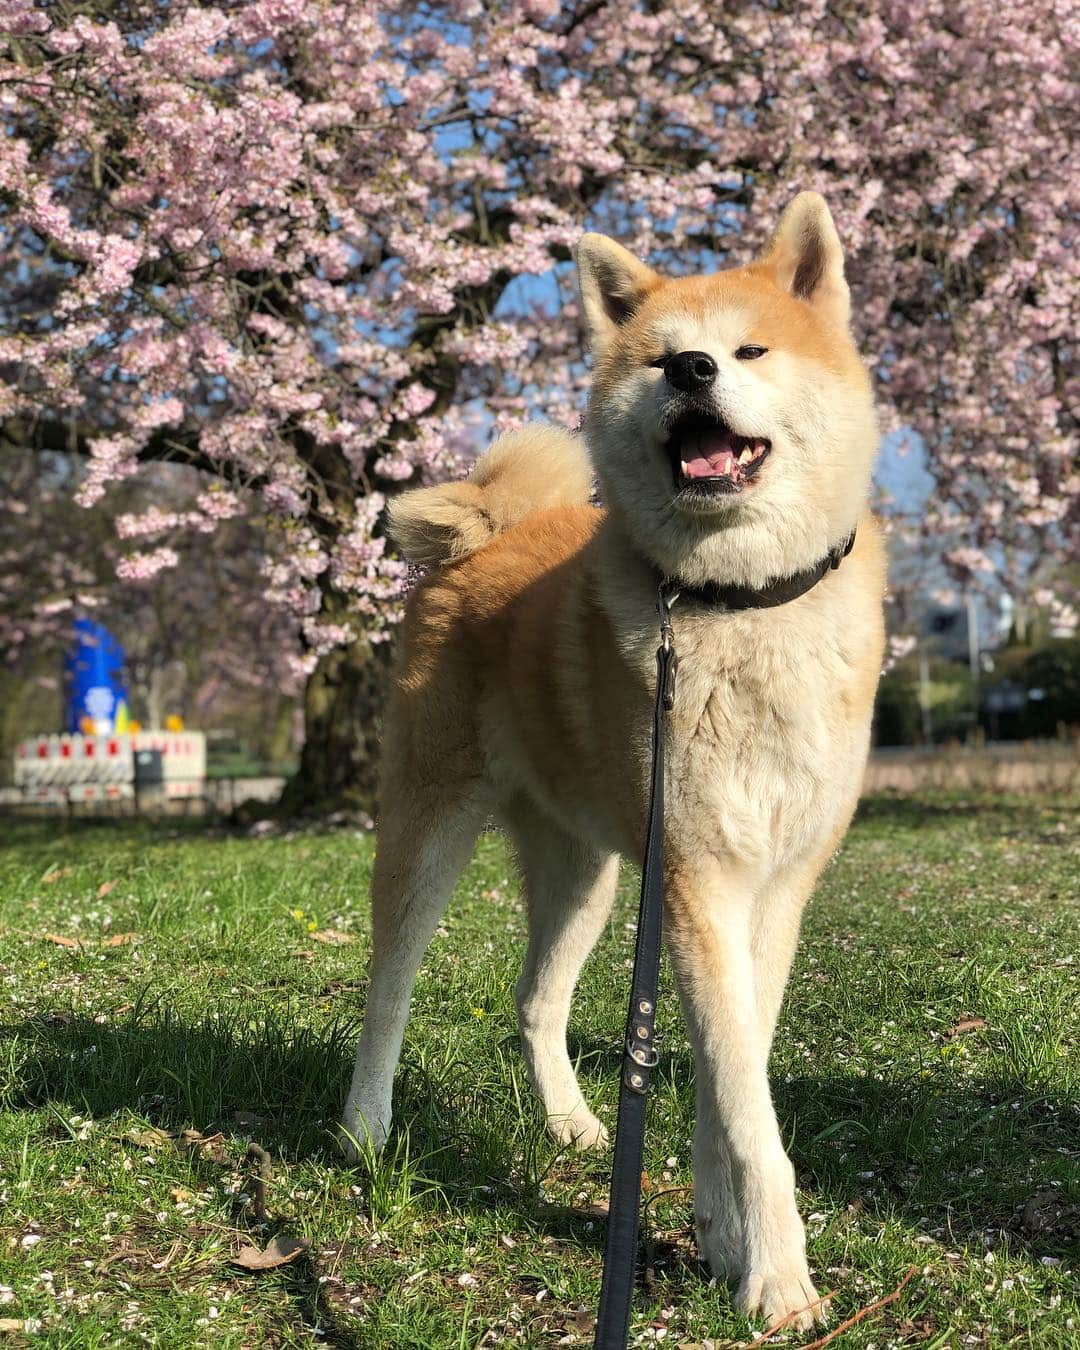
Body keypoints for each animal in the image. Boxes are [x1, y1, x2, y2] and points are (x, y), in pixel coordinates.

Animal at [344, 195, 885, 1333]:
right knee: (388, 987)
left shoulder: (770, 888)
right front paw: (778, 1278)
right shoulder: (697, 880)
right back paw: (364, 1128)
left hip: (588, 870)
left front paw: (723, 1236)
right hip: (428, 830)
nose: (692, 369)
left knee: (534, 1000)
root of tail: (489, 530)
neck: (734, 607)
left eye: (749, 349)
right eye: (660, 357)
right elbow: (748, 1108)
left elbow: (734, 1076)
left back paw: (569, 1123)